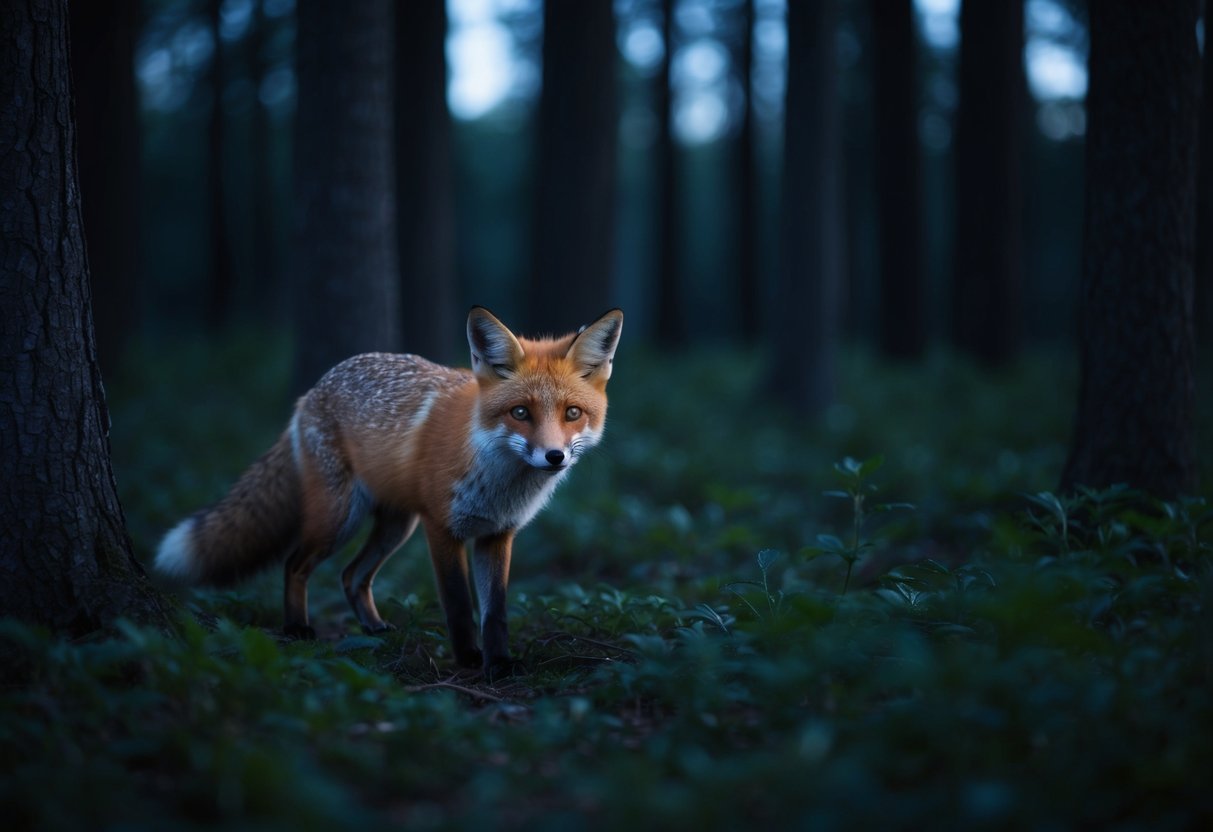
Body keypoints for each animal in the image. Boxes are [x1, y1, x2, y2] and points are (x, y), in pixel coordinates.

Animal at [155, 306, 623, 678]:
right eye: (520, 412)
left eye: (572, 413)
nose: (554, 456)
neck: (497, 480)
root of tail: (315, 389)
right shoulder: (441, 528)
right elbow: (458, 604)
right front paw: (469, 659)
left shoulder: (496, 534)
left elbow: (496, 612)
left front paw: (501, 665)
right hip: (341, 518)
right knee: (295, 564)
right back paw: (297, 628)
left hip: (396, 527)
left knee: (351, 575)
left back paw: (374, 628)